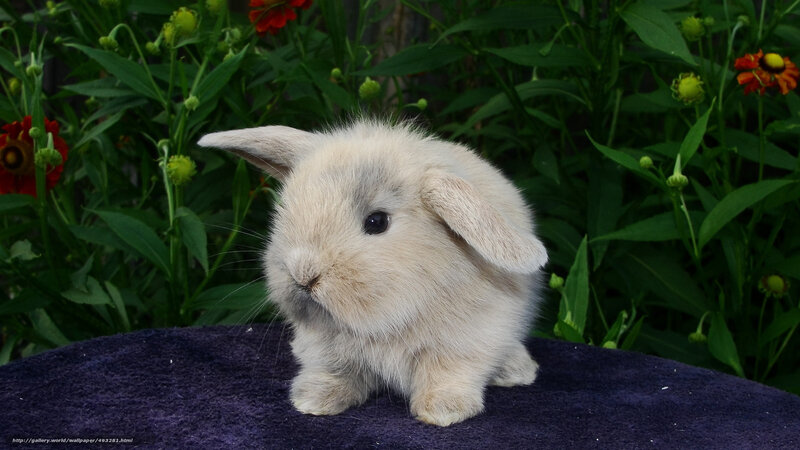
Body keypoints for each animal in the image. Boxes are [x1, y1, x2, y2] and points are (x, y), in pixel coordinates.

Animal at [197, 120, 548, 427]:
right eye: (287, 210)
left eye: (376, 222)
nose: (303, 275)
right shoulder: (326, 348)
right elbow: (335, 372)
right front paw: (313, 400)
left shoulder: (466, 342)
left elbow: (448, 374)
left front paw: (442, 411)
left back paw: (519, 371)